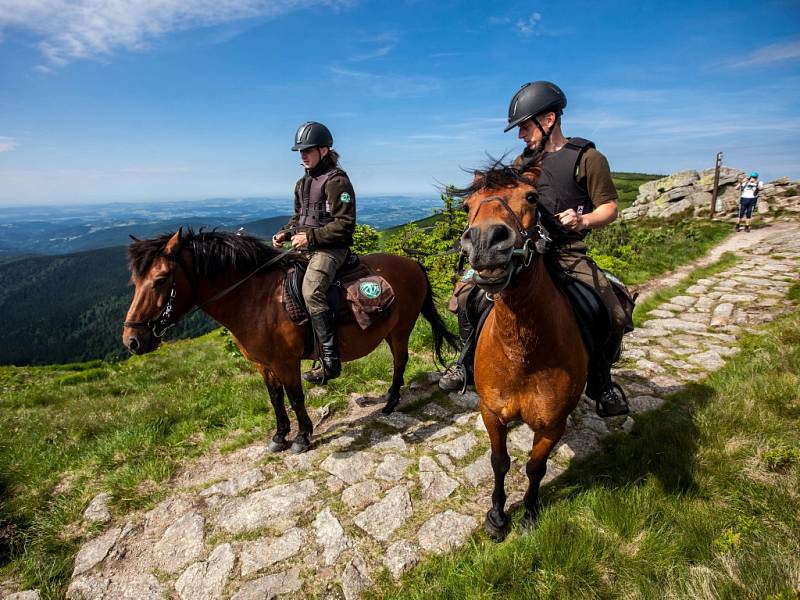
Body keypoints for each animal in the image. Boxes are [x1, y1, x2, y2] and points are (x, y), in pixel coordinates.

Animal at [119, 227, 456, 452]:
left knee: (400, 361)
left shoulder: (286, 362)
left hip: (401, 329)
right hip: (388, 330)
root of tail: (412, 264)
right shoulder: (263, 364)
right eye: (135, 280)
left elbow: (295, 398)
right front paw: (279, 436)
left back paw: (391, 402)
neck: (256, 299)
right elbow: (275, 398)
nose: (132, 340)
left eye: (160, 280)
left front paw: (303, 437)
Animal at [456, 162, 588, 540]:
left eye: (531, 197)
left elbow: (535, 467)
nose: (484, 240)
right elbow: (499, 462)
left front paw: (529, 513)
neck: (522, 355)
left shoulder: (552, 426)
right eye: (468, 205)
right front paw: (497, 517)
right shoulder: (491, 412)